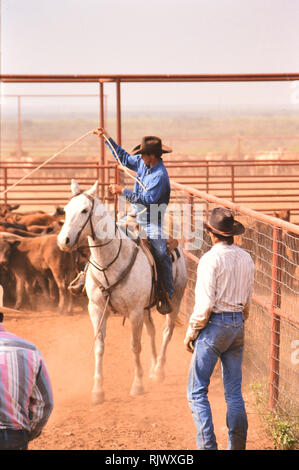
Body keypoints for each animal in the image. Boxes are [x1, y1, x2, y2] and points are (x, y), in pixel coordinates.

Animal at [57, 180, 189, 404]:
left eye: (84, 210)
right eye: (66, 210)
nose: (63, 241)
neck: (109, 264)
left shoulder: (134, 312)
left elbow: (135, 346)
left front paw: (137, 385)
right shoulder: (97, 309)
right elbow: (99, 346)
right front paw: (97, 391)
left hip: (176, 300)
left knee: (166, 331)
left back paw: (159, 370)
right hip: (146, 308)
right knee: (152, 331)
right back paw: (153, 367)